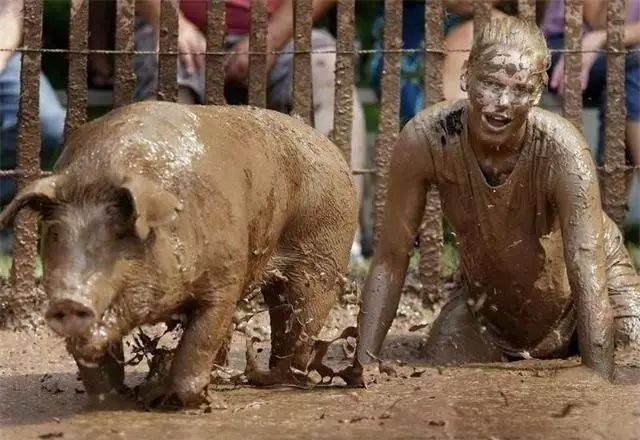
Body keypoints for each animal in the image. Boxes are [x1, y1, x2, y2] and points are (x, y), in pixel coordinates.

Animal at [0, 101, 358, 408]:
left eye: (119, 233)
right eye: (55, 235)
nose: (68, 301)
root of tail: (332, 150)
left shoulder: (224, 280)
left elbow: (200, 340)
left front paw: (178, 402)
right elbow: (97, 362)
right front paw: (115, 400)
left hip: (324, 255)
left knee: (302, 316)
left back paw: (281, 380)